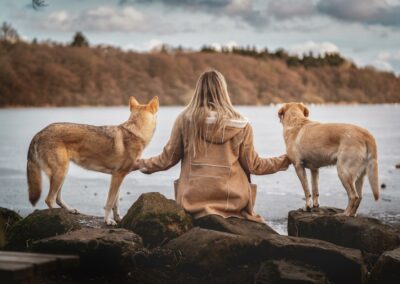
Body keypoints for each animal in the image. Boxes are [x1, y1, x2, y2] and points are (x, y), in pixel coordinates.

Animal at [25, 96, 158, 225]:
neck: (136, 132)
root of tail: (39, 133)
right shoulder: (117, 176)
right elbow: (109, 203)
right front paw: (108, 221)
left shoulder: (118, 176)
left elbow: (116, 203)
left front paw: (118, 219)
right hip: (60, 173)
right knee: (50, 199)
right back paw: (58, 217)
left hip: (62, 173)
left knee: (57, 199)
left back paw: (70, 210)